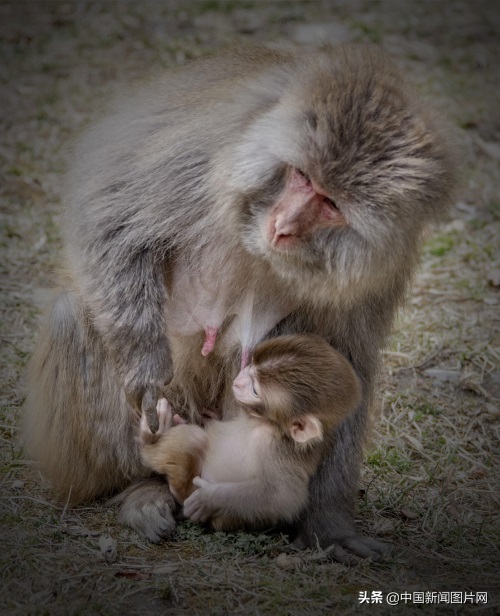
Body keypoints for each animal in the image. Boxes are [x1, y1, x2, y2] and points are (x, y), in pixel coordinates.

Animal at [140, 334, 360, 532]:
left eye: (255, 390)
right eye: (252, 365)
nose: (238, 381)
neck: (263, 422)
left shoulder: (276, 447)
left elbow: (282, 496)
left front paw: (208, 498)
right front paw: (211, 415)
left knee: (193, 441)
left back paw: (151, 438)